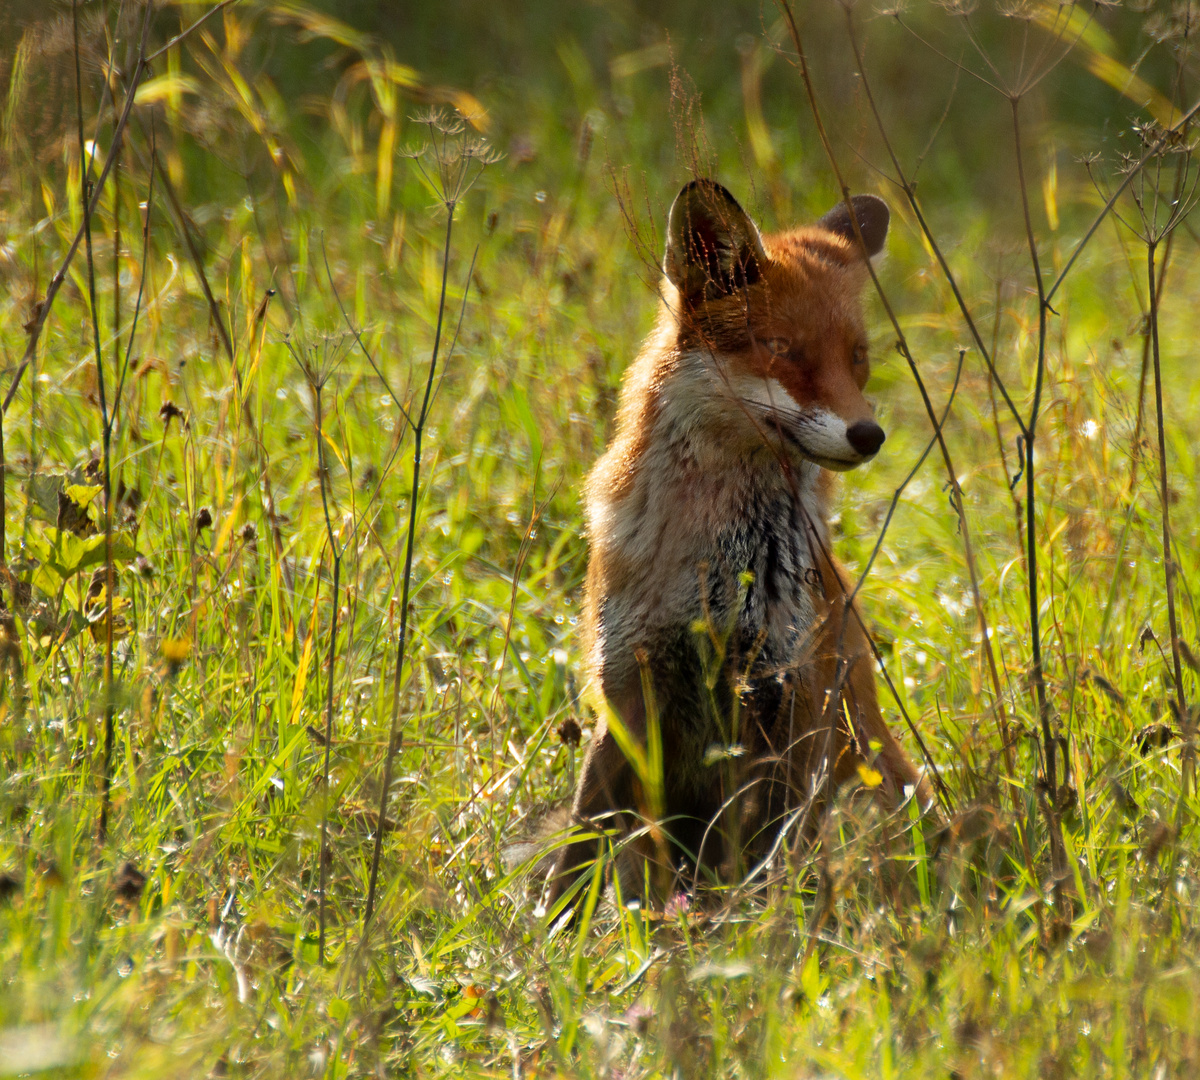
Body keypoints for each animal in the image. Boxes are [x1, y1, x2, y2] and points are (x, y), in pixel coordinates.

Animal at [544, 178, 926, 912]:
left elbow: (759, 858)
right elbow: (576, 850)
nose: (869, 436)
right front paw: (543, 932)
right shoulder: (628, 685)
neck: (713, 564)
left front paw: (747, 927)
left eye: (858, 358)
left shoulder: (784, 692)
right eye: (783, 348)